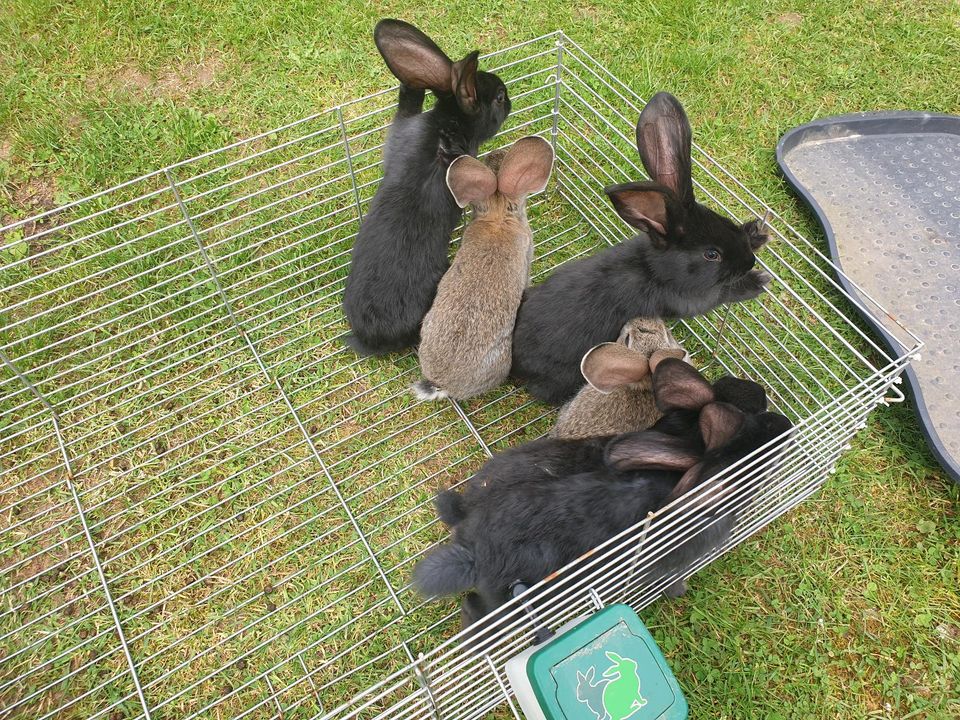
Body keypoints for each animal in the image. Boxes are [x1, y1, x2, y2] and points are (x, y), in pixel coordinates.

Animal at [510, 89, 772, 402]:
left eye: (727, 223)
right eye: (712, 254)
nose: (749, 262)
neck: (654, 269)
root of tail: (514, 362)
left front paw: (758, 232)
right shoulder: (689, 299)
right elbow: (723, 293)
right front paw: (758, 281)